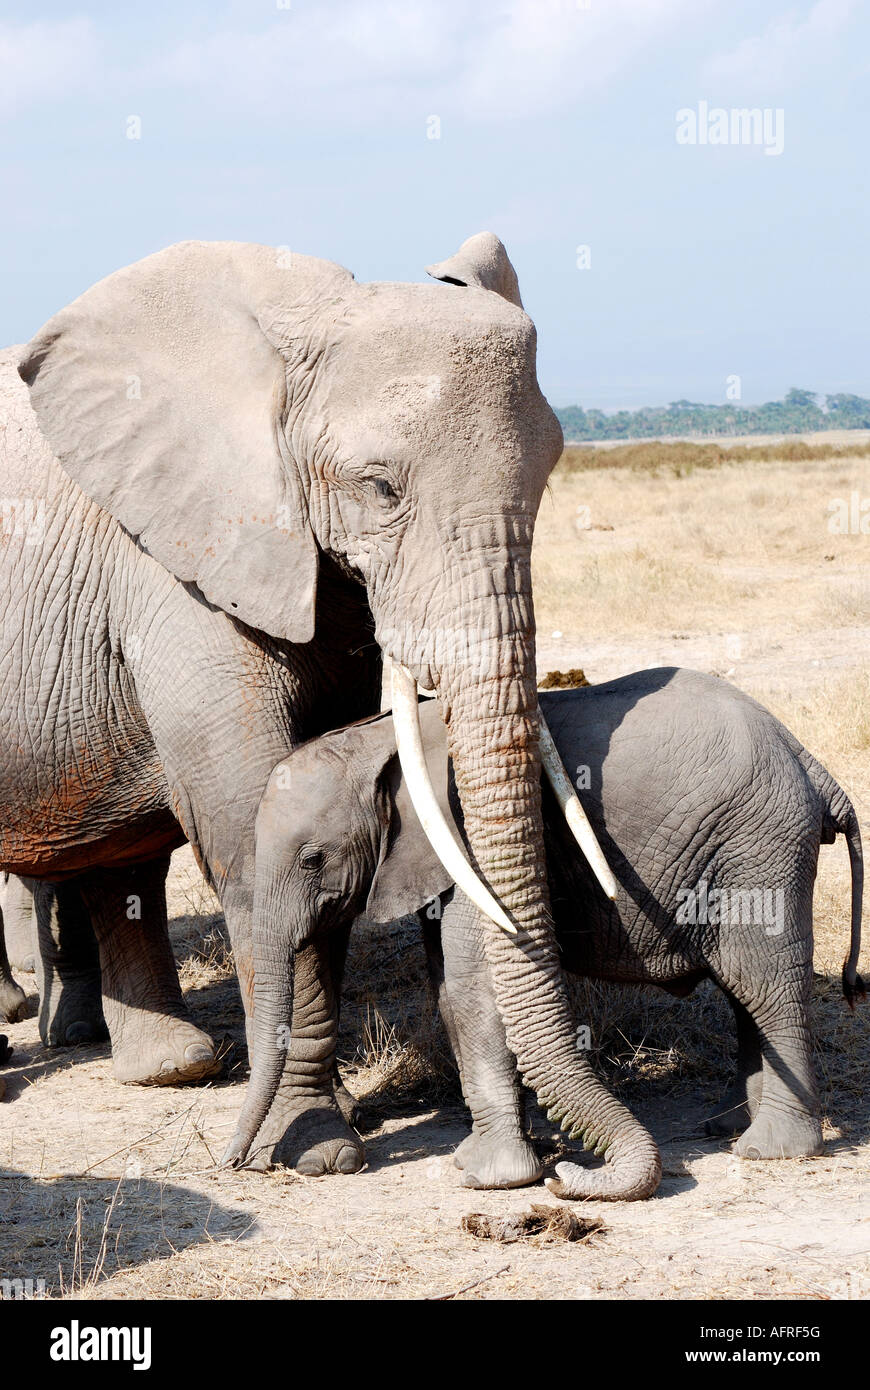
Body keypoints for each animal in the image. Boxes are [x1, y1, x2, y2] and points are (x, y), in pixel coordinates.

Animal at [0, 233, 654, 1194]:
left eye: (546, 476)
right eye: (378, 488)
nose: (571, 1173)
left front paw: (321, 1129)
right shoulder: (180, 562)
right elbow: (250, 825)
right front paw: (316, 1150)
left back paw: (170, 1068)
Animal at [247, 667, 864, 1193]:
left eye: (312, 859)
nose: (241, 1162)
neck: (382, 740)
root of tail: (811, 764)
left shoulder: (467, 848)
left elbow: (474, 991)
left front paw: (491, 1177)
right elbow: (449, 990)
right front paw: (493, 1158)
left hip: (758, 848)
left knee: (763, 984)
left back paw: (769, 1149)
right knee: (745, 993)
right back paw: (728, 1126)